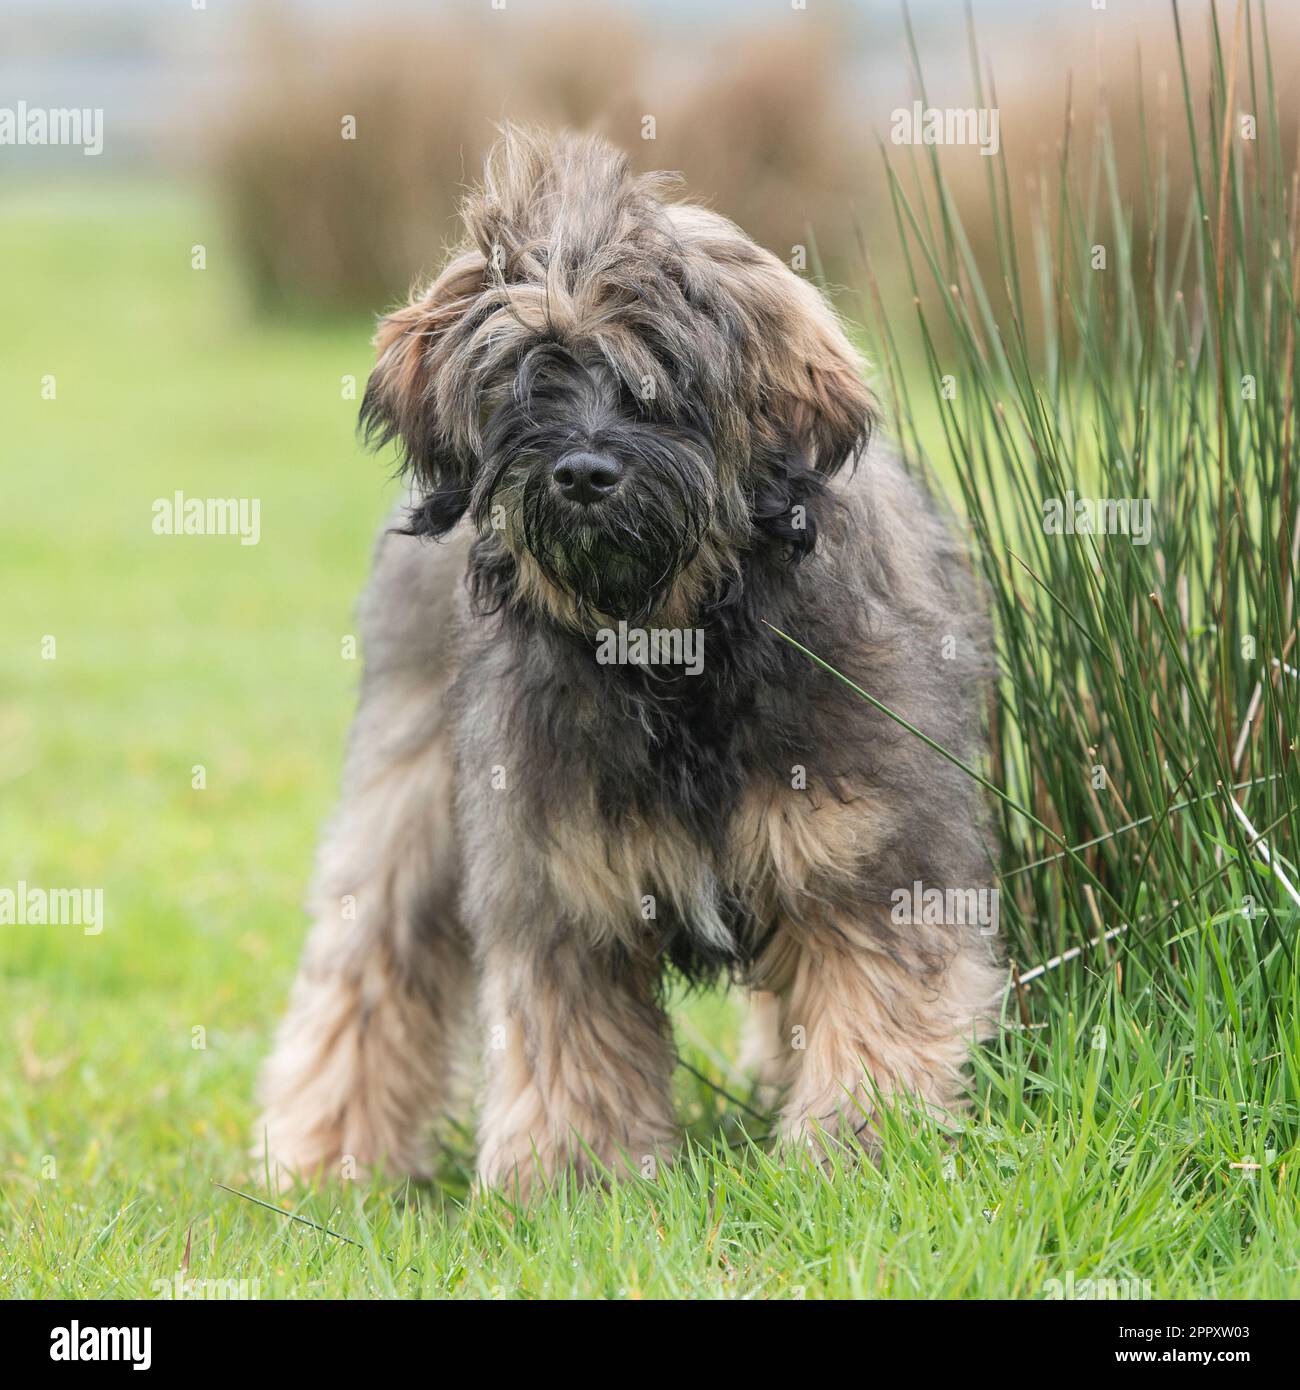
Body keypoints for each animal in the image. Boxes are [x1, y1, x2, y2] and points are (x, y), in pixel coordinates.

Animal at [257, 127, 1006, 1195]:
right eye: (528, 375)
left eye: (664, 379)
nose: (583, 472)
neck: (676, 647)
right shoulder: (558, 879)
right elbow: (570, 1050)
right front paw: (574, 1186)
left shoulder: (867, 853)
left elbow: (872, 1015)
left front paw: (858, 1152)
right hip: (409, 800)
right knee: (368, 971)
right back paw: (326, 1159)